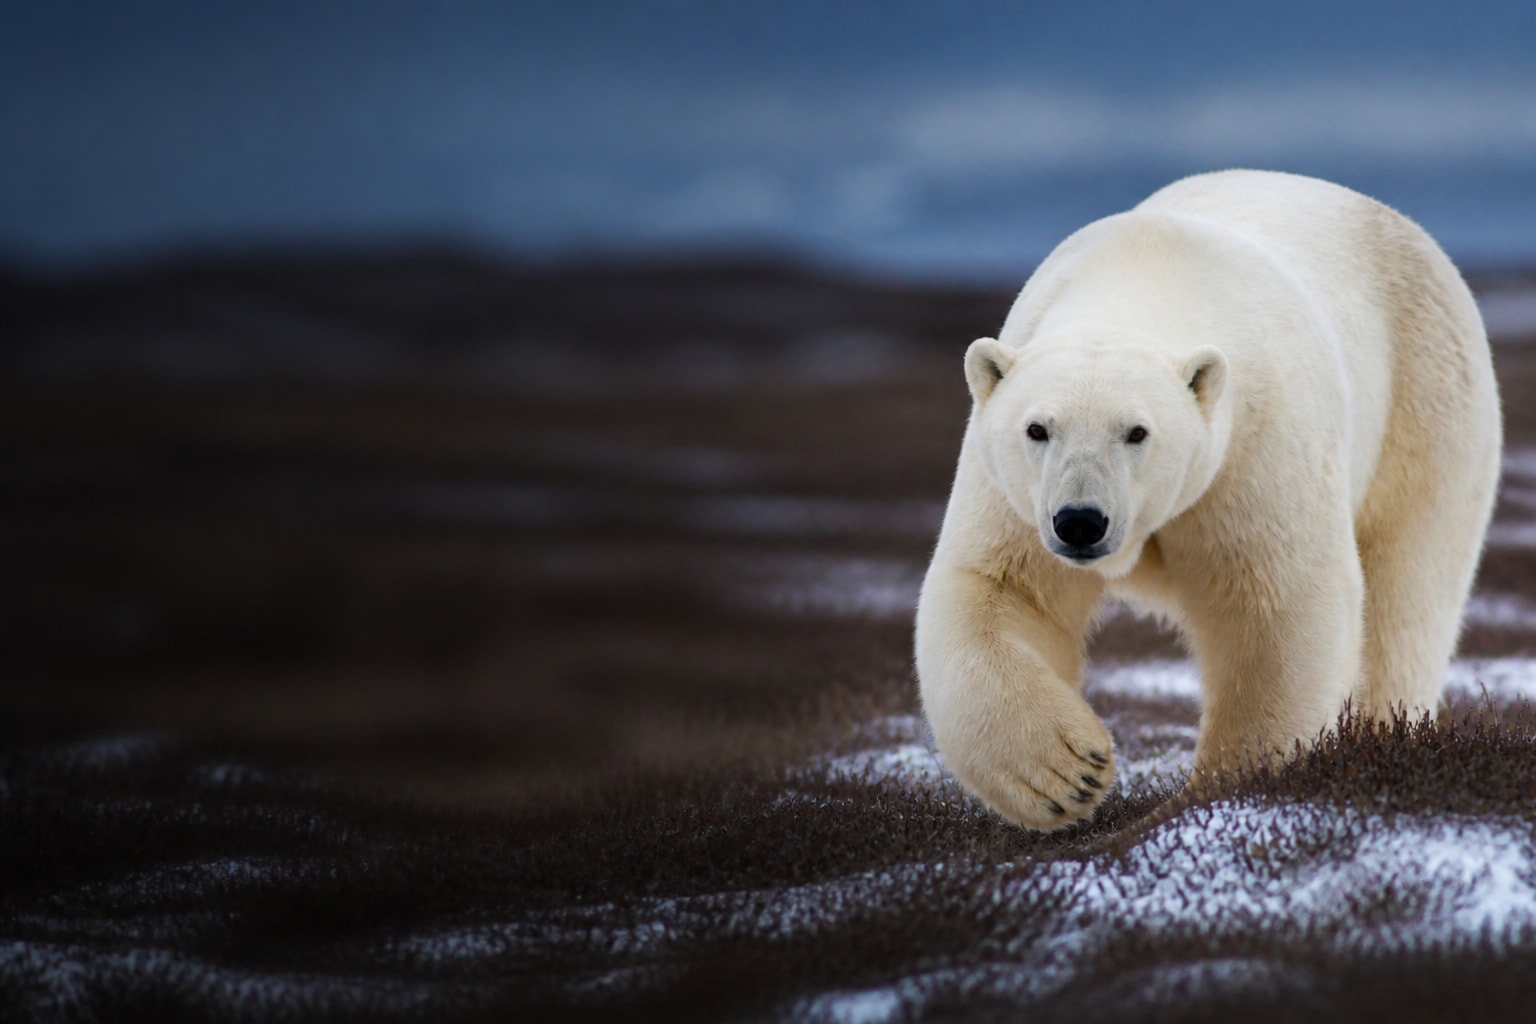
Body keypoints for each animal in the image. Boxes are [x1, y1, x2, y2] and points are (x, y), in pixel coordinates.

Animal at [915, 169, 1502, 831]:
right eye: (1037, 429)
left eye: (1136, 432)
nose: (1080, 522)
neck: (1145, 271)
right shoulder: (1013, 492)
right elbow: (1003, 589)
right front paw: (1067, 772)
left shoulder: (1254, 445)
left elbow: (1279, 604)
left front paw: (1223, 791)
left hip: (1428, 399)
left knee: (1408, 590)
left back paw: (1384, 734)